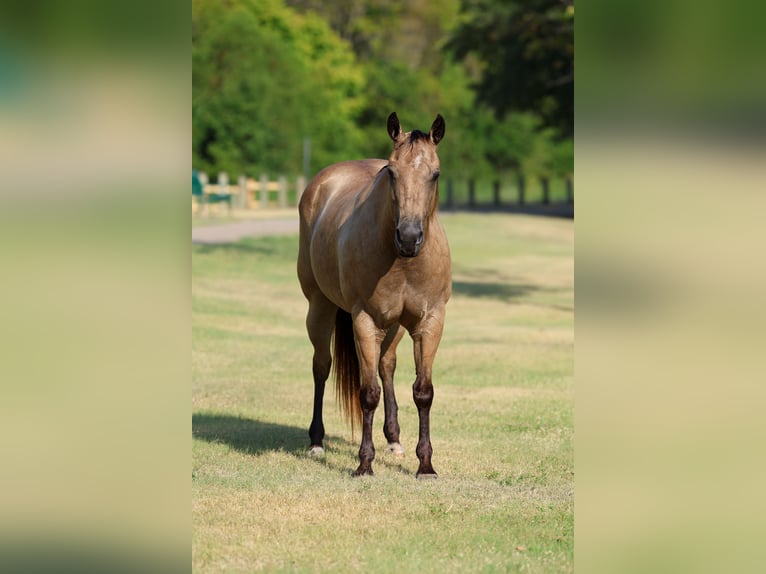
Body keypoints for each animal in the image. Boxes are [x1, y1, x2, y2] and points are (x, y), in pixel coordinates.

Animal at [297, 112, 451, 478]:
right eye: (392, 172)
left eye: (435, 174)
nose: (409, 237)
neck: (403, 261)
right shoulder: (364, 321)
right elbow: (367, 393)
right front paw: (364, 464)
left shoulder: (430, 323)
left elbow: (423, 392)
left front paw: (425, 465)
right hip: (319, 308)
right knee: (321, 366)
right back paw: (316, 441)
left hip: (393, 327)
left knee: (387, 365)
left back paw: (394, 440)